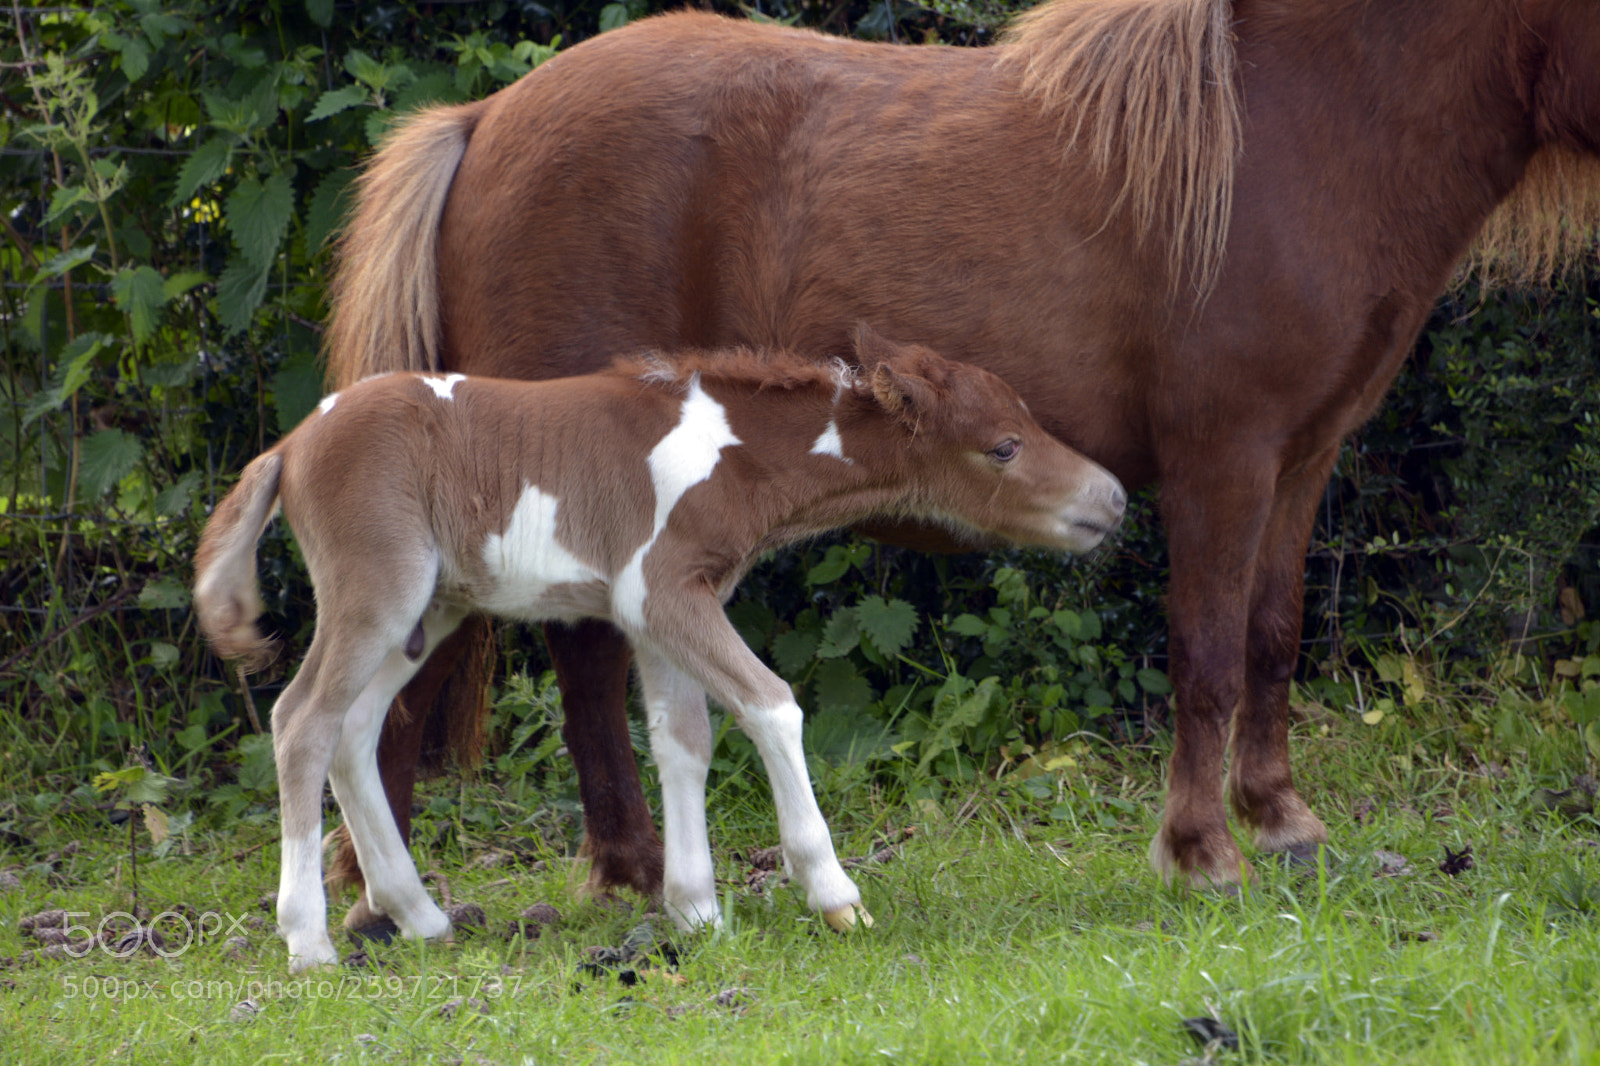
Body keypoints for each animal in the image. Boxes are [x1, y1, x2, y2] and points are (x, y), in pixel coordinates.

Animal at [194, 330, 1126, 970]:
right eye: (1003, 446)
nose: (1112, 499)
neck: (739, 451)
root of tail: (287, 447)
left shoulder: (660, 610)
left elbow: (684, 741)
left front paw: (696, 911)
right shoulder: (664, 589)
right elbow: (771, 704)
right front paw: (833, 894)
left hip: (433, 607)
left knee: (353, 728)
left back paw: (421, 916)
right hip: (377, 589)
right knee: (302, 721)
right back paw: (309, 943)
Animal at [322, 0, 1600, 919]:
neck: (1300, 131)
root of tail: (486, 117)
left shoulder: (1300, 461)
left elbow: (1273, 637)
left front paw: (1281, 823)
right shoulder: (1223, 461)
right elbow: (1206, 653)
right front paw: (1203, 851)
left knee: (575, 663)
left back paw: (621, 871)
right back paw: (384, 896)